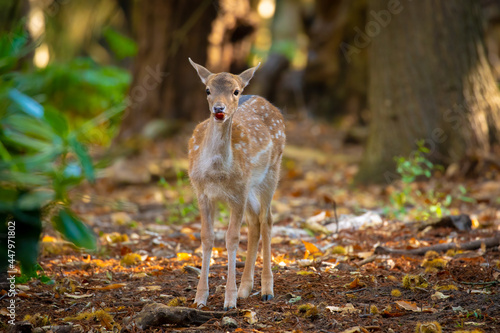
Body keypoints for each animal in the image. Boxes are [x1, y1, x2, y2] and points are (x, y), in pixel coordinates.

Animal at [188, 57, 286, 308]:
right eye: (207, 90)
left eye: (235, 91)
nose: (219, 109)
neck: (216, 173)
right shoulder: (201, 191)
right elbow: (207, 237)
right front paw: (200, 298)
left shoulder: (237, 194)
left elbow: (232, 238)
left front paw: (229, 300)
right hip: (250, 188)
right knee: (254, 221)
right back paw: (245, 288)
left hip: (271, 172)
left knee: (267, 220)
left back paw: (266, 289)